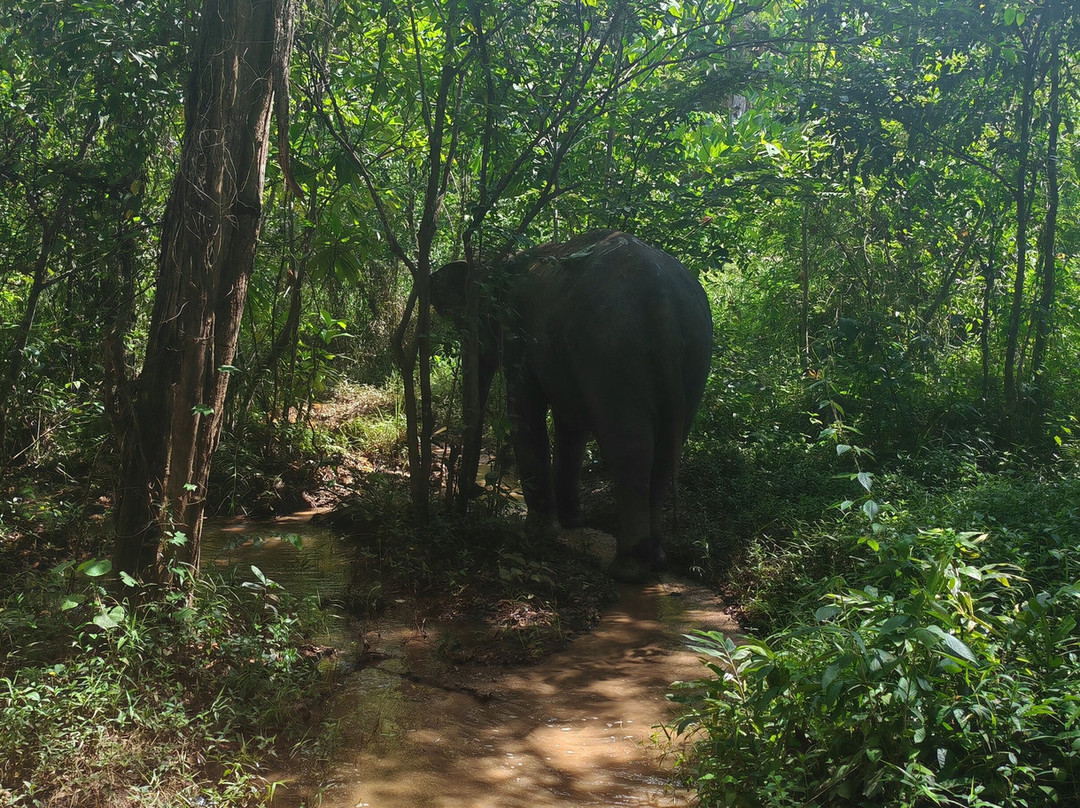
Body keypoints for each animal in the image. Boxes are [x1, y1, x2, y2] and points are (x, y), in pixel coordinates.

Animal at [432, 229, 713, 583]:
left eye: (471, 325)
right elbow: (571, 424)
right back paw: (657, 559)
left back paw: (627, 570)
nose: (474, 492)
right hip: (695, 352)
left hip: (610, 350)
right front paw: (571, 523)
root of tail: (661, 297)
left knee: (630, 447)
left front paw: (537, 534)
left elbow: (524, 411)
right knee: (668, 449)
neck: (505, 259)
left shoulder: (521, 336)